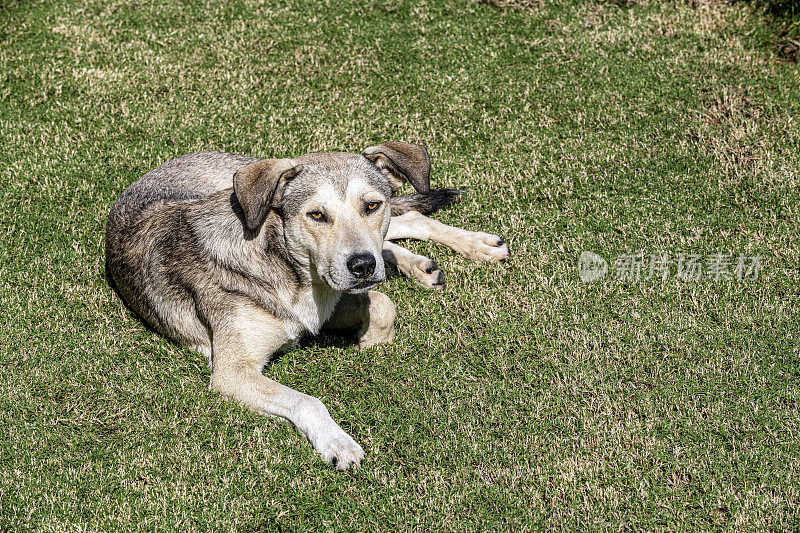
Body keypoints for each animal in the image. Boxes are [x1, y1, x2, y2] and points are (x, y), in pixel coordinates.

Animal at [104, 142, 506, 470]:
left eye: (372, 205)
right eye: (316, 215)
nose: (362, 265)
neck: (281, 262)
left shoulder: (329, 301)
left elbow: (383, 303)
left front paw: (371, 343)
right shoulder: (233, 371)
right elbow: (308, 399)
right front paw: (338, 442)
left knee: (407, 218)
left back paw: (475, 246)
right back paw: (422, 264)